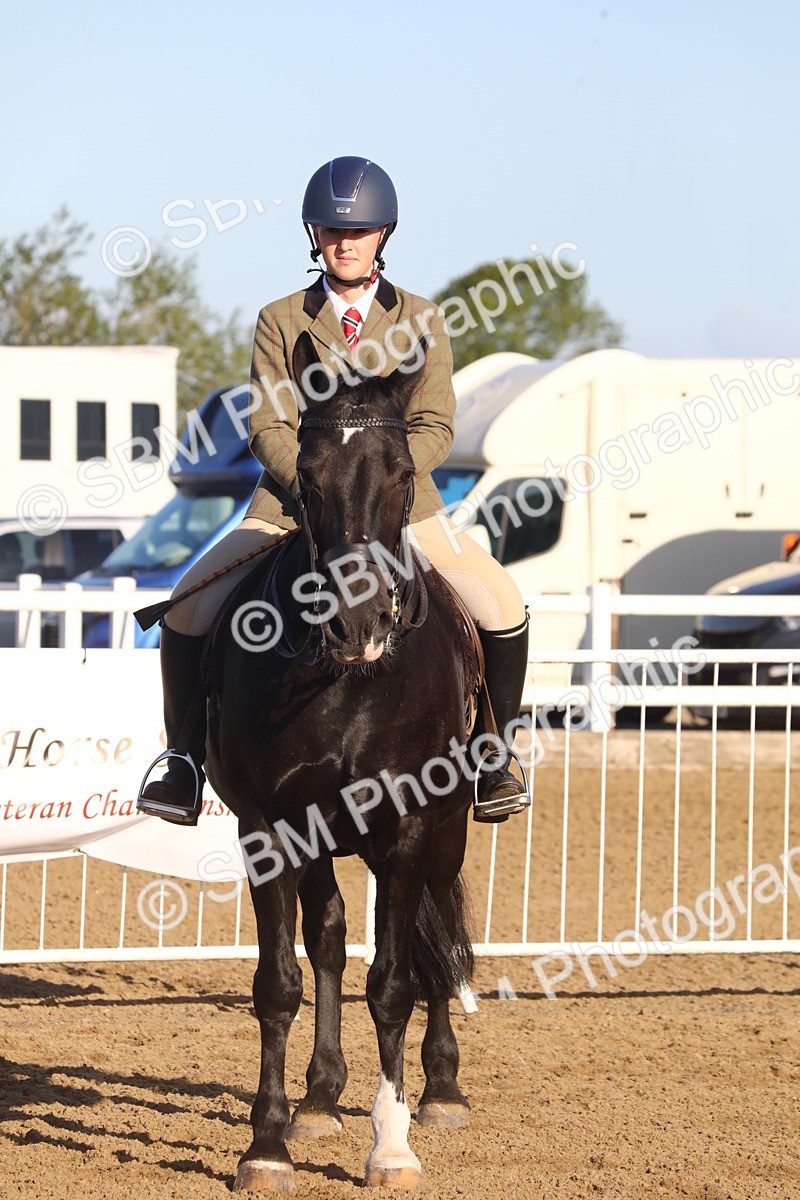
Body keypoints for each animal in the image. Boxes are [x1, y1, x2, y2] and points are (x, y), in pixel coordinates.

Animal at [202, 331, 479, 1192]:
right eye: (308, 478)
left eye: (403, 476)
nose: (358, 624)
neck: (347, 679)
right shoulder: (270, 828)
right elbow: (279, 983)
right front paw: (267, 1144)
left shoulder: (410, 824)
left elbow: (392, 983)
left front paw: (391, 1146)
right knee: (326, 937)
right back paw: (321, 1098)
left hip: (448, 832)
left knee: (433, 945)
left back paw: (441, 1087)